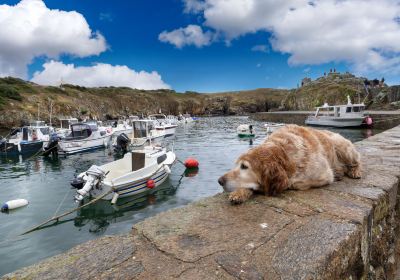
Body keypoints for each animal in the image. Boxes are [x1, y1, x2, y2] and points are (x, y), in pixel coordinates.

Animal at [219, 124, 362, 203]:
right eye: (237, 165)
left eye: (244, 166)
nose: (219, 181)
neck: (284, 152)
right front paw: (239, 193)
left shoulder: (325, 175)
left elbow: (292, 183)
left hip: (342, 146)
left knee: (357, 161)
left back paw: (354, 171)